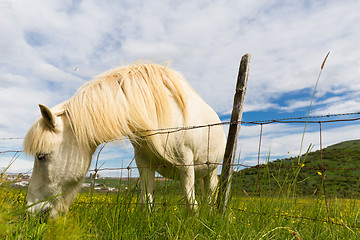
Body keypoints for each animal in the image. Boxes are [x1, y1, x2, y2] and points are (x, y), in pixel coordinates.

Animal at [23, 62, 225, 218]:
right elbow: (146, 202)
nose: (30, 211)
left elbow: (191, 204)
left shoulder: (186, 163)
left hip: (211, 171)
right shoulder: (144, 163)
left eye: (41, 156)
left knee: (209, 195)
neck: (158, 111)